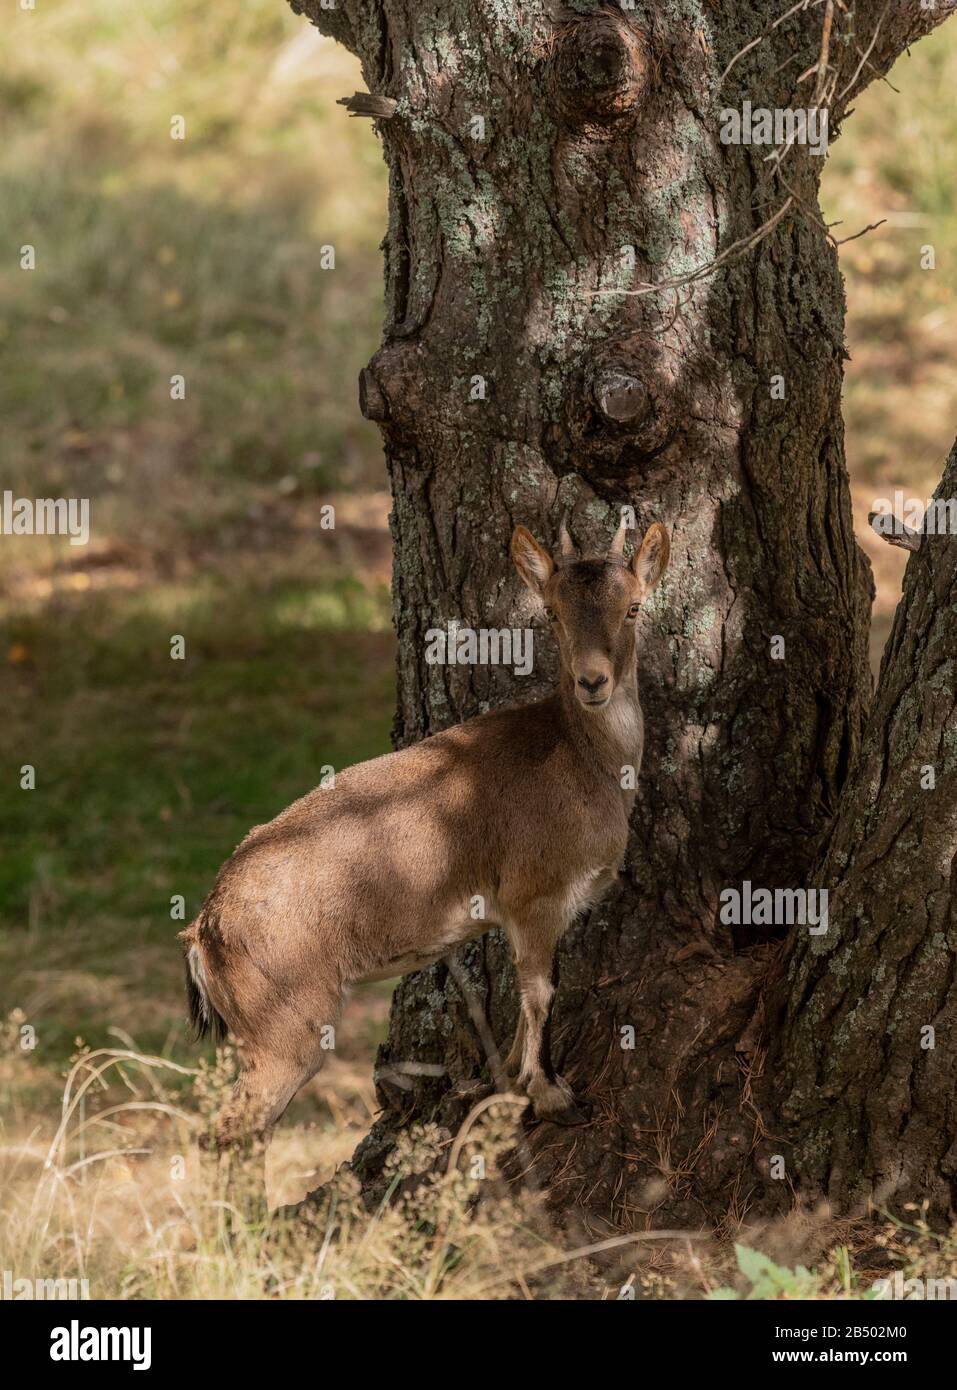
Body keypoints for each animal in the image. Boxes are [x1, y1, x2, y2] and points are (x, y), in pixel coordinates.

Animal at [182, 518, 669, 1179]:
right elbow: (541, 991)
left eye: (633, 606)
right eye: (553, 611)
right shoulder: (534, 897)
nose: (593, 682)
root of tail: (204, 929)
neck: (584, 760)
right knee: (232, 1131)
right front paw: (555, 1099)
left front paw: (506, 1082)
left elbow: (525, 997)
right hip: (283, 1029)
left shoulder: (515, 914)